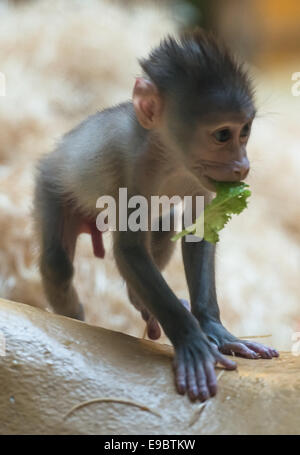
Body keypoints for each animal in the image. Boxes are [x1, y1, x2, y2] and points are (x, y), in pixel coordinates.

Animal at [33, 28, 278, 402]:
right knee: (57, 265)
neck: (171, 159)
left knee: (163, 225)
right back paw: (75, 318)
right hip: (51, 186)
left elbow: (198, 233)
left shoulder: (201, 182)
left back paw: (141, 302)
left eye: (245, 130)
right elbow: (129, 250)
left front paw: (214, 329)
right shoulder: (136, 164)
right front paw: (191, 339)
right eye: (223, 135)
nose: (242, 165)